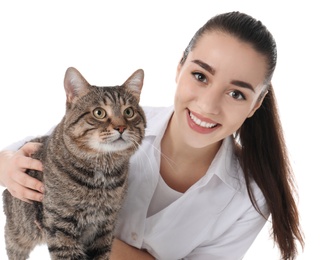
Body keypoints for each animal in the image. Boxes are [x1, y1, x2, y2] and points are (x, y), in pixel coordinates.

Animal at [2, 67, 146, 260]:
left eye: (129, 112)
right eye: (99, 112)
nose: (121, 127)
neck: (102, 172)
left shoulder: (105, 228)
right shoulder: (61, 227)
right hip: (18, 234)